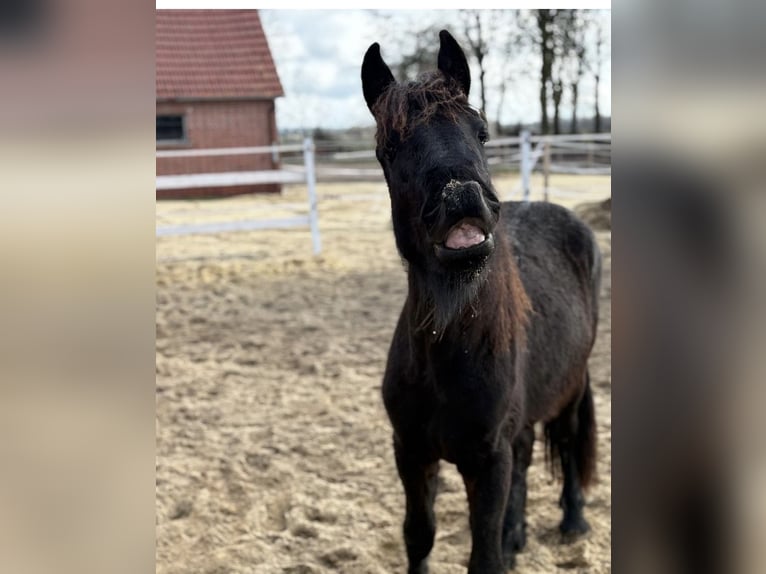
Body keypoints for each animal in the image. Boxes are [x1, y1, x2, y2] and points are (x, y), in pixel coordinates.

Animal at [361, 30, 601, 573]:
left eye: (482, 131)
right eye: (390, 147)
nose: (462, 198)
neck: (445, 352)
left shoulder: (487, 459)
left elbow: (482, 554)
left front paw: (506, 544)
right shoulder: (411, 452)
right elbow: (419, 534)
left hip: (571, 385)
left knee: (568, 441)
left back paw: (574, 521)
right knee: (528, 455)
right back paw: (518, 535)